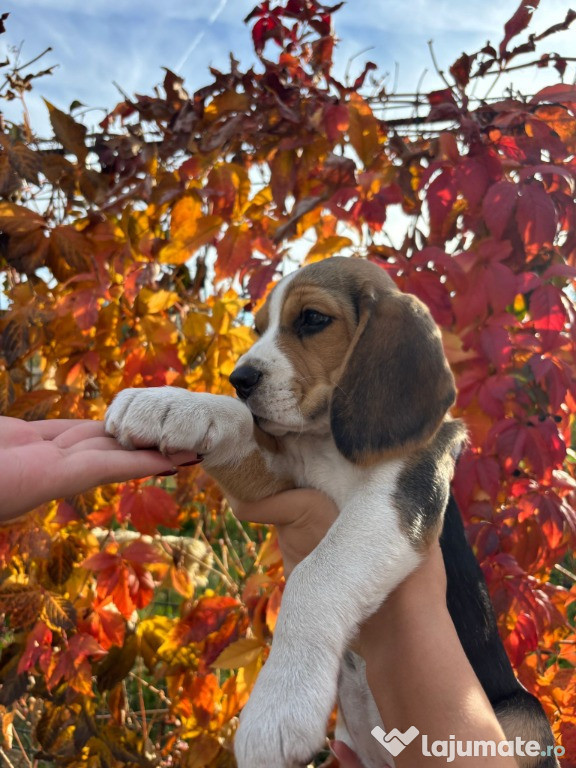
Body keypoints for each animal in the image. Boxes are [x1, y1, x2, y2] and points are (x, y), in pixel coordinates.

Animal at [106, 255, 556, 764]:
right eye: (258, 328)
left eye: (312, 319)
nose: (239, 380)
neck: (327, 444)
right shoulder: (283, 475)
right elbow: (242, 426)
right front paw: (170, 405)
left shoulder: (395, 499)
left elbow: (315, 577)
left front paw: (279, 705)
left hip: (522, 717)